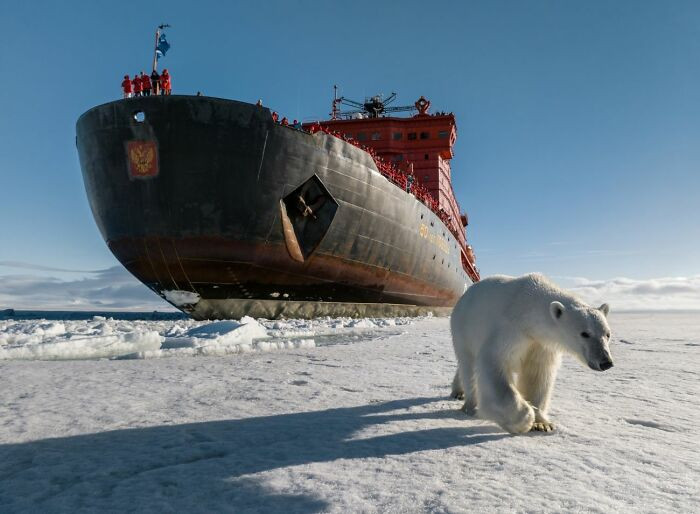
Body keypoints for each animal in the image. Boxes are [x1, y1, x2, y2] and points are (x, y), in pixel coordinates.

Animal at [450, 273, 613, 434]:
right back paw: (469, 405)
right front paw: (523, 420)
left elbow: (537, 374)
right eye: (585, 333)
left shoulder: (540, 344)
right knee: (468, 366)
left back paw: (458, 391)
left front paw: (542, 423)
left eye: (607, 334)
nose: (606, 362)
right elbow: (494, 364)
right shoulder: (510, 331)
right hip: (464, 328)